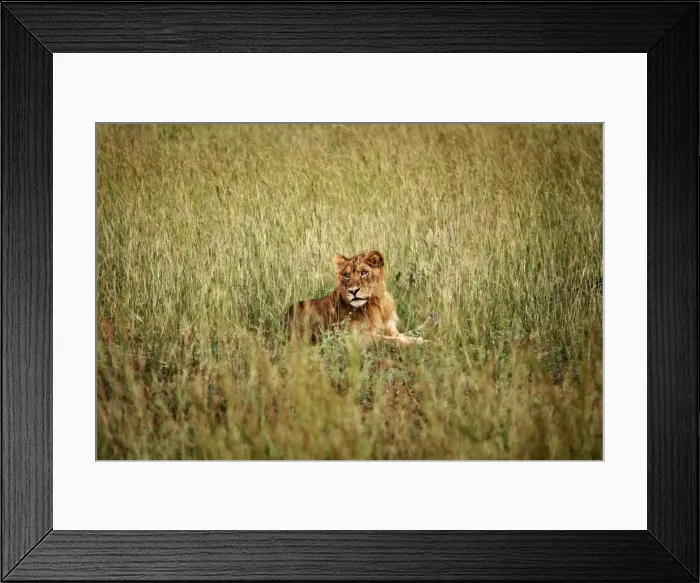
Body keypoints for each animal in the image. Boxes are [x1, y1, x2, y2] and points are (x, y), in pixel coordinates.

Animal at [285, 249, 424, 346]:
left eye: (364, 272)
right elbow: (389, 340)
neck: (375, 304)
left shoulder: (390, 329)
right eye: (346, 275)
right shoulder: (355, 338)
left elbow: (402, 336)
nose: (353, 291)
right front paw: (414, 344)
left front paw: (421, 340)